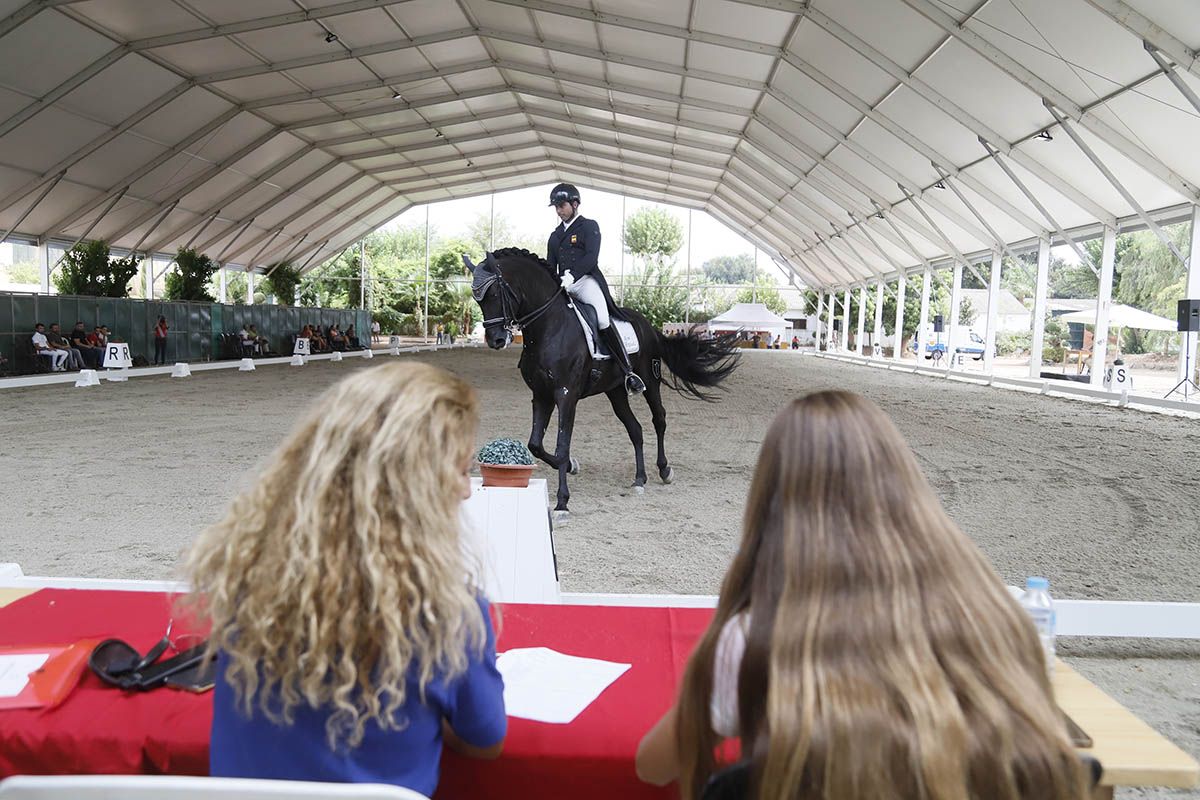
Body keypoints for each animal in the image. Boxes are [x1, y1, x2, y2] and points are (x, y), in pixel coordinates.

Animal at [463, 247, 734, 515]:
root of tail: (650, 327)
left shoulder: (566, 395)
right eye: (477, 299)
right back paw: (639, 479)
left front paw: (562, 502)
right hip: (615, 392)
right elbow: (535, 445)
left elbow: (562, 446)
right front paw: (572, 466)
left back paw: (664, 469)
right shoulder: (541, 395)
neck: (548, 328)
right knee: (635, 428)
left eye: (495, 293)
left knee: (659, 419)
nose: (496, 340)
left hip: (650, 381)